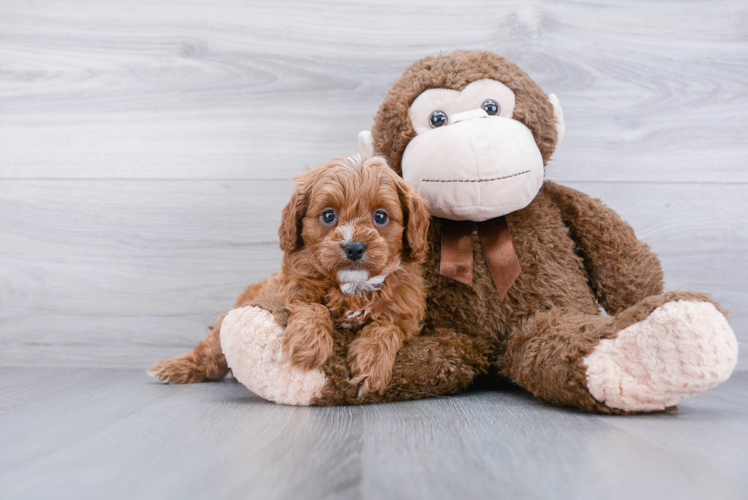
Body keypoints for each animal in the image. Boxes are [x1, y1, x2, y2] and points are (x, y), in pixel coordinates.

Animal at [149, 154, 430, 396]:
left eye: (380, 216)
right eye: (328, 215)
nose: (353, 247)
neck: (352, 287)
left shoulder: (403, 312)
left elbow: (385, 327)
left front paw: (371, 366)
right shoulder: (293, 289)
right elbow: (312, 307)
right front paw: (308, 345)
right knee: (211, 355)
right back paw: (173, 368)